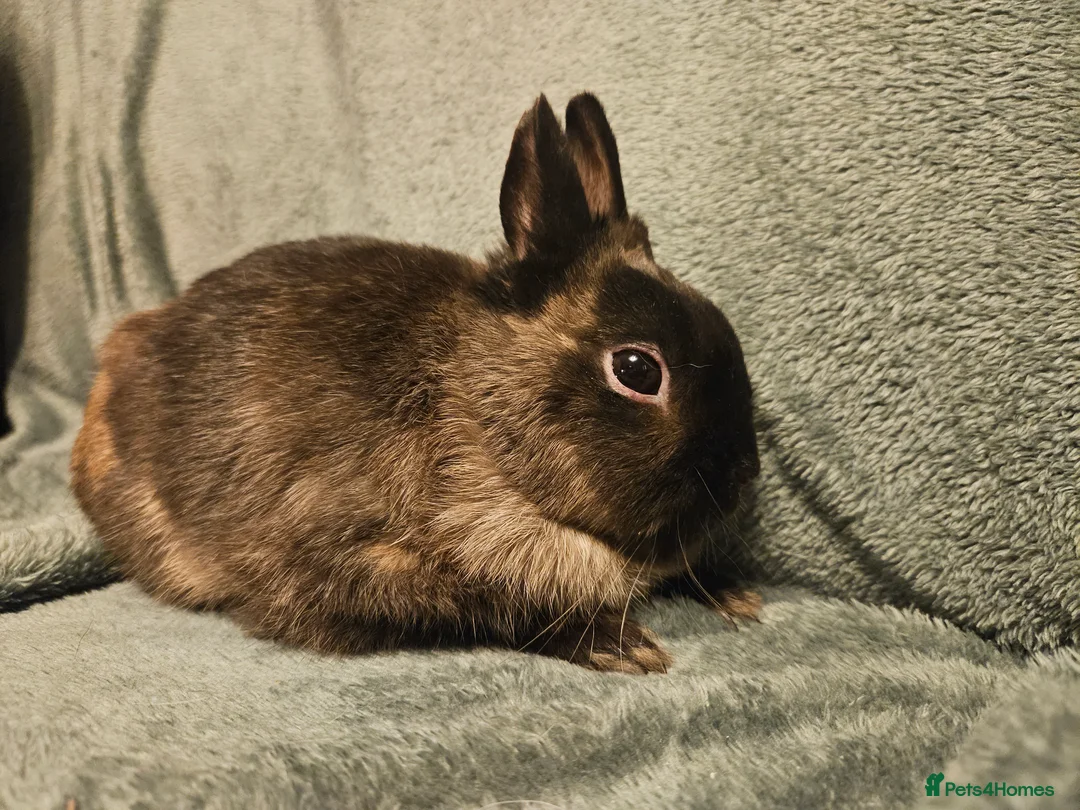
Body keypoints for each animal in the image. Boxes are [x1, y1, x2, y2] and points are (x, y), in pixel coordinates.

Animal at [70, 92, 761, 674]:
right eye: (637, 370)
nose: (742, 475)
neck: (480, 419)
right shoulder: (354, 565)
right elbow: (500, 612)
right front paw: (623, 646)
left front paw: (736, 595)